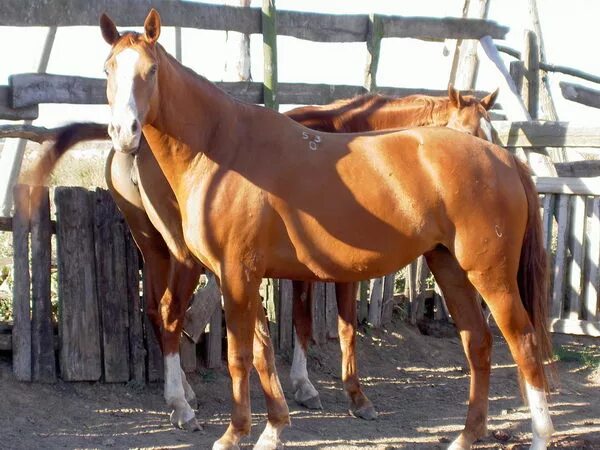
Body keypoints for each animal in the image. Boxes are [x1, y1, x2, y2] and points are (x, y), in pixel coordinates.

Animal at [30, 10, 552, 450]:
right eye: (107, 69)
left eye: (151, 70)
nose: (125, 132)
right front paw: (274, 428)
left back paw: (539, 436)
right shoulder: (240, 274)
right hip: (449, 266)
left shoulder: (240, 273)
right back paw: (466, 435)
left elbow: (244, 355)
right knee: (478, 342)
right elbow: (263, 352)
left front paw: (236, 434)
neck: (225, 150)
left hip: (489, 274)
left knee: (522, 342)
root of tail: (504, 160)